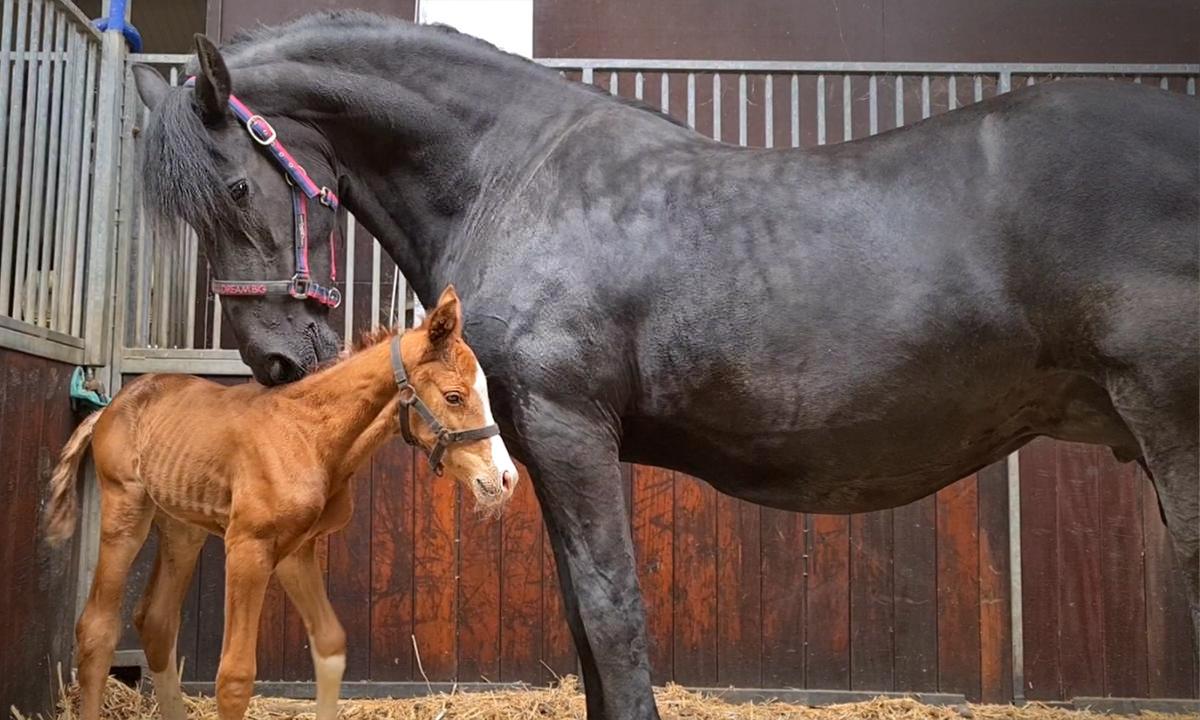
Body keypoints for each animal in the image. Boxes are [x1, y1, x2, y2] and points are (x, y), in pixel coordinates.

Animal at [45, 285, 518, 720]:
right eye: (454, 396)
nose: (505, 478)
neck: (309, 436)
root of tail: (110, 406)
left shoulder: (296, 550)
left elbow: (330, 645)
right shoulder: (248, 547)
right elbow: (234, 678)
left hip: (183, 528)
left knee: (156, 622)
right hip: (126, 510)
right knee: (97, 629)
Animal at [131, 14, 1199, 719]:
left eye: (234, 189)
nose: (274, 360)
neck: (514, 174)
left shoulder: (570, 428)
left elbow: (612, 613)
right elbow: (582, 620)